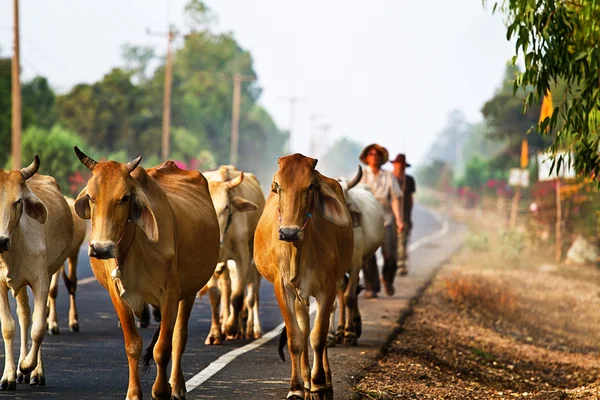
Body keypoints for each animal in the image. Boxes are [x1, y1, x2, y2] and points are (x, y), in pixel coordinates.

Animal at [0, 158, 74, 390]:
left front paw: (27, 366)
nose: (1, 240)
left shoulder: (41, 281)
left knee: (36, 316)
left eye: (18, 202)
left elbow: (39, 326)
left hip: (48, 274)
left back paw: (34, 373)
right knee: (23, 315)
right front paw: (9, 376)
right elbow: (8, 327)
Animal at [72, 148, 218, 400]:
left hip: (188, 291)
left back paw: (177, 386)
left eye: (124, 198)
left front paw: (160, 391)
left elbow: (163, 348)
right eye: (90, 197)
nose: (101, 248)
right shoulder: (117, 295)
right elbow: (133, 345)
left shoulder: (170, 294)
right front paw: (133, 393)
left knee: (179, 337)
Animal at [254, 154, 356, 400]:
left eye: (310, 186)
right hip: (300, 296)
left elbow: (318, 337)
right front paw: (297, 388)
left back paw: (322, 382)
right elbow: (296, 338)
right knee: (303, 327)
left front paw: (320, 385)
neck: (298, 250)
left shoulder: (327, 288)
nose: (288, 232)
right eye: (278, 185)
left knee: (317, 331)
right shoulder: (283, 289)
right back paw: (306, 381)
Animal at [328, 166, 384, 346]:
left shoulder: (355, 264)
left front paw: (350, 333)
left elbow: (350, 297)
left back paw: (354, 326)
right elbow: (337, 298)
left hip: (362, 260)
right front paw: (333, 335)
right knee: (343, 290)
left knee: (352, 290)